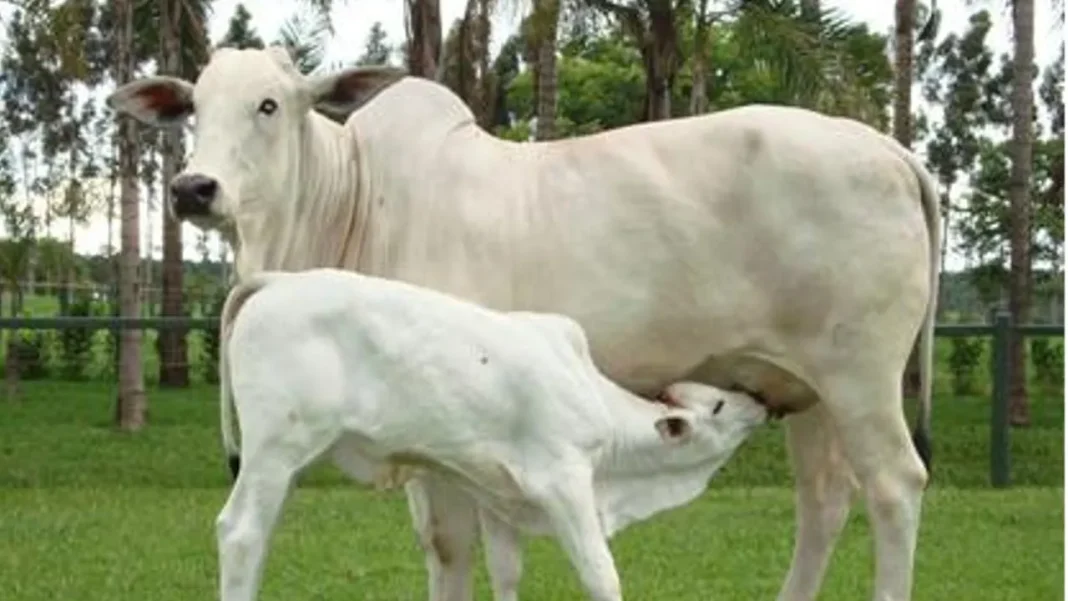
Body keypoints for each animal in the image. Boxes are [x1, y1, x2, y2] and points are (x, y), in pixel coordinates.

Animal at [216, 266, 768, 601]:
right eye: (719, 406)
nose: (760, 401)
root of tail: (279, 280)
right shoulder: (564, 481)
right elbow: (601, 573)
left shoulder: (497, 493)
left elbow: (506, 571)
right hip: (275, 450)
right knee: (240, 533)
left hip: (284, 462)